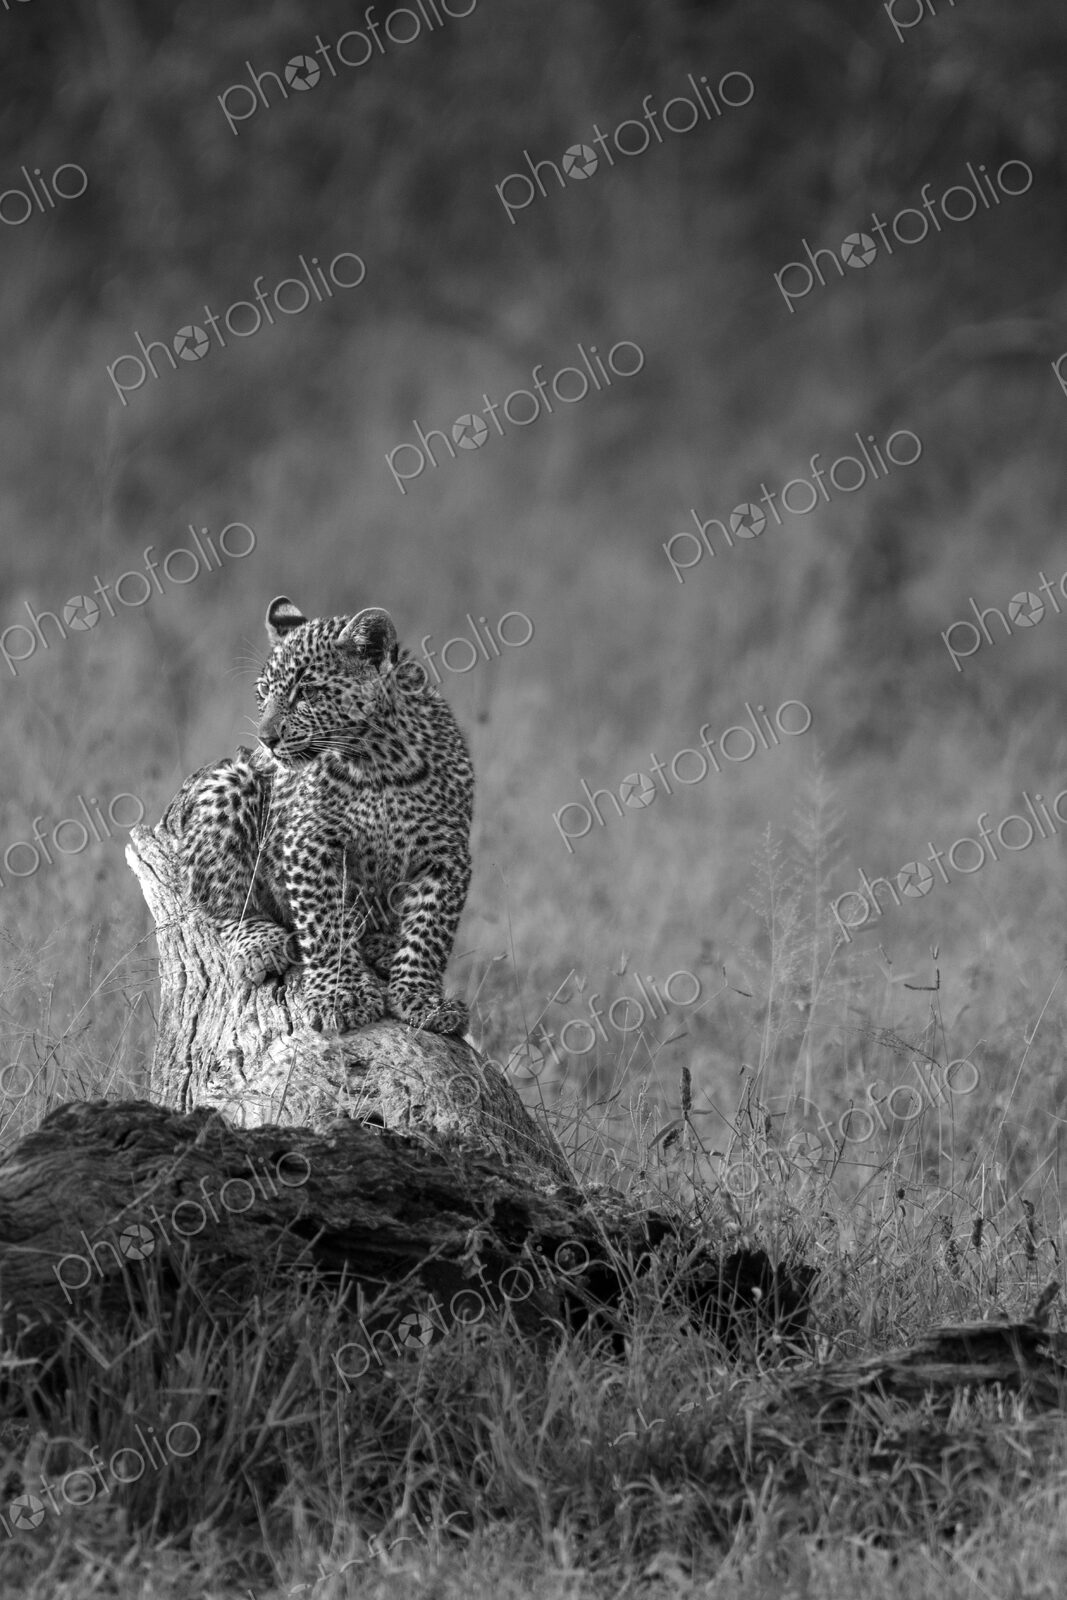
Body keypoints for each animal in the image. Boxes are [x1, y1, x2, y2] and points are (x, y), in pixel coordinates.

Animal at [158, 596, 473, 1036]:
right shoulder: (310, 843)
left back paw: (382, 943)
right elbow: (325, 924)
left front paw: (423, 1000)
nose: (266, 739)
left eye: (305, 692)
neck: (380, 761)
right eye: (263, 693)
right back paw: (261, 945)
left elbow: (430, 932)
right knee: (223, 904)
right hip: (231, 784)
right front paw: (343, 996)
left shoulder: (446, 854)